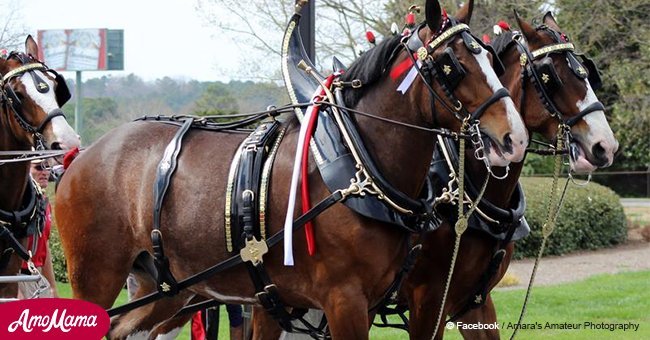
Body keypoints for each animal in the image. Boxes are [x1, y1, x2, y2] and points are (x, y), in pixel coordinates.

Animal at [52, 1, 528, 338]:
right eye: (452, 65)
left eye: (491, 59)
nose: (514, 138)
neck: (357, 165)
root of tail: (84, 156)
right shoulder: (349, 301)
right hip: (96, 278)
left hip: (166, 287)